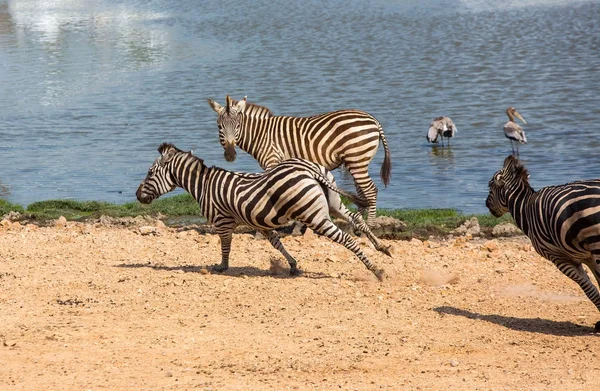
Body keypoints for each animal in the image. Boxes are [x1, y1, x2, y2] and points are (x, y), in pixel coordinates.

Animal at [135, 142, 390, 280]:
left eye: (149, 173)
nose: (137, 195)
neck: (204, 185)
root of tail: (308, 169)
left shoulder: (223, 221)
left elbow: (225, 246)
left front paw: (222, 267)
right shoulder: (259, 222)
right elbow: (277, 244)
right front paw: (293, 265)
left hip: (314, 216)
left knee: (345, 238)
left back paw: (376, 270)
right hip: (333, 202)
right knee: (356, 218)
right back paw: (383, 248)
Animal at [207, 94, 394, 227]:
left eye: (237, 126)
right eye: (219, 126)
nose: (230, 155)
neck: (260, 135)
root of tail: (373, 119)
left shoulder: (272, 161)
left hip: (357, 159)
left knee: (370, 191)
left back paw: (369, 225)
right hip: (356, 162)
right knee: (363, 193)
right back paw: (357, 225)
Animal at [486, 155, 600, 330]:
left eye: (490, 186)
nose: (486, 204)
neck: (524, 208)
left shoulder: (558, 257)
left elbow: (588, 288)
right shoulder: (587, 256)